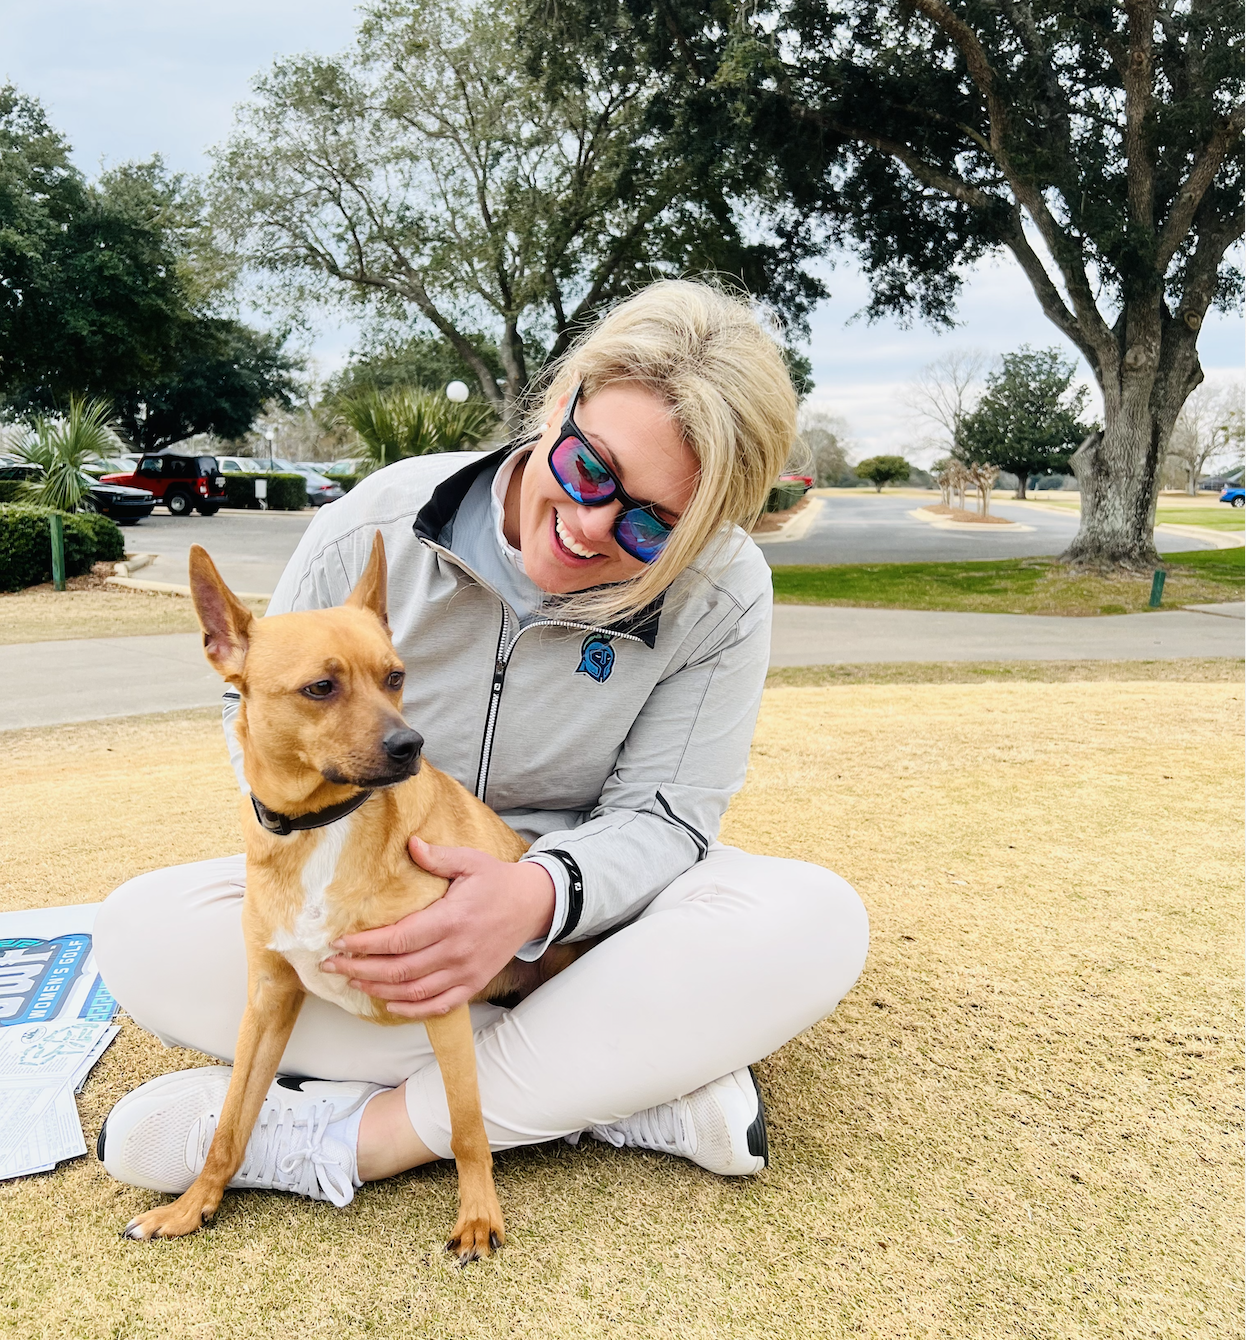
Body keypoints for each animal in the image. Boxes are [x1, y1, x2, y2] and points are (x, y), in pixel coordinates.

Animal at [121, 530, 578, 1254]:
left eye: (395, 676)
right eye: (320, 687)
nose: (410, 744)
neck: (323, 826)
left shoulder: (441, 996)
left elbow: (467, 1125)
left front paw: (479, 1215)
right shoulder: (269, 1000)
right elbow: (231, 1122)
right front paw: (194, 1204)